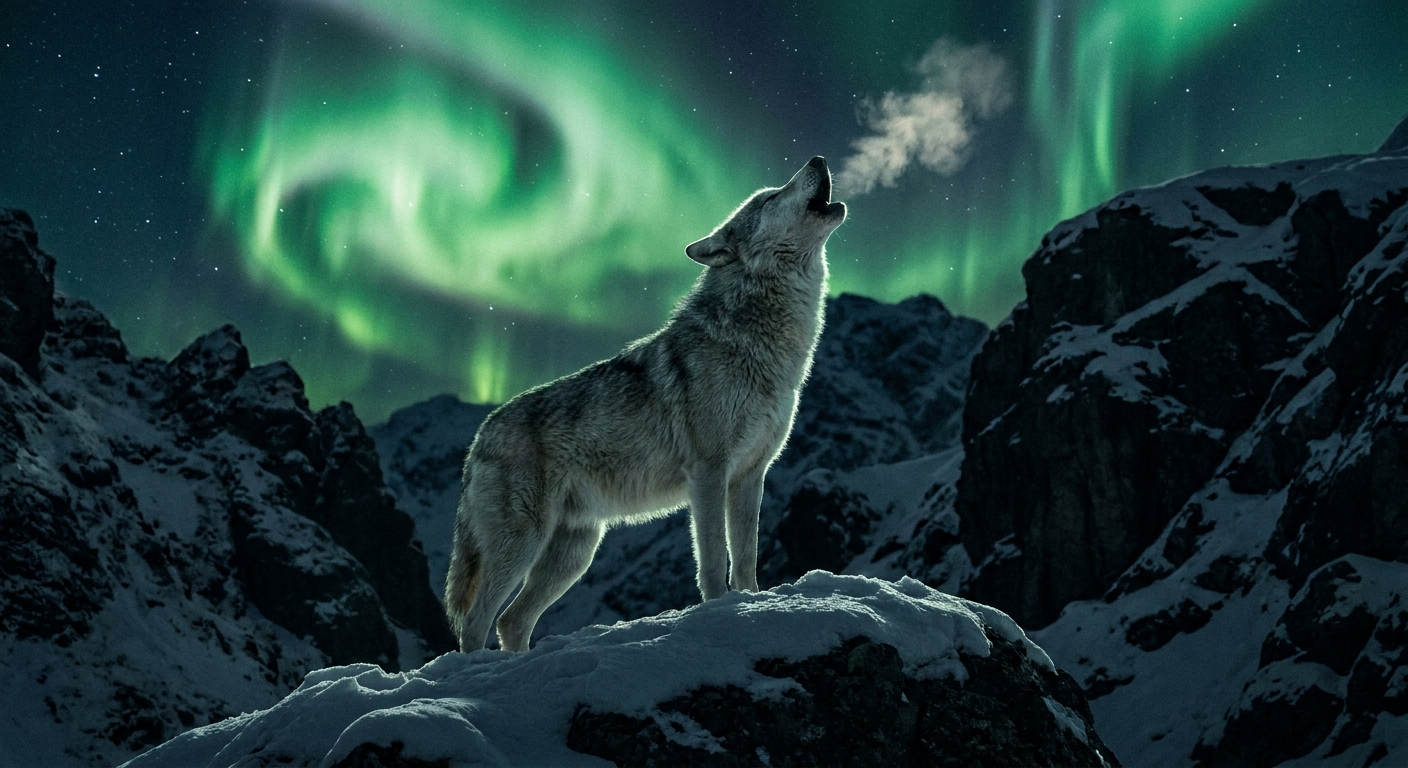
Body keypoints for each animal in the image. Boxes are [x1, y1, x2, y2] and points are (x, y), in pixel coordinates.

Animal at [444, 156, 847, 652]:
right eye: (771, 196)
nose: (818, 160)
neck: (761, 343)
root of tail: (479, 437)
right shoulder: (709, 473)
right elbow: (715, 561)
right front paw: (718, 615)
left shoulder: (751, 476)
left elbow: (746, 560)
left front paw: (751, 606)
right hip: (523, 543)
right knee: (477, 621)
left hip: (574, 553)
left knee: (511, 622)